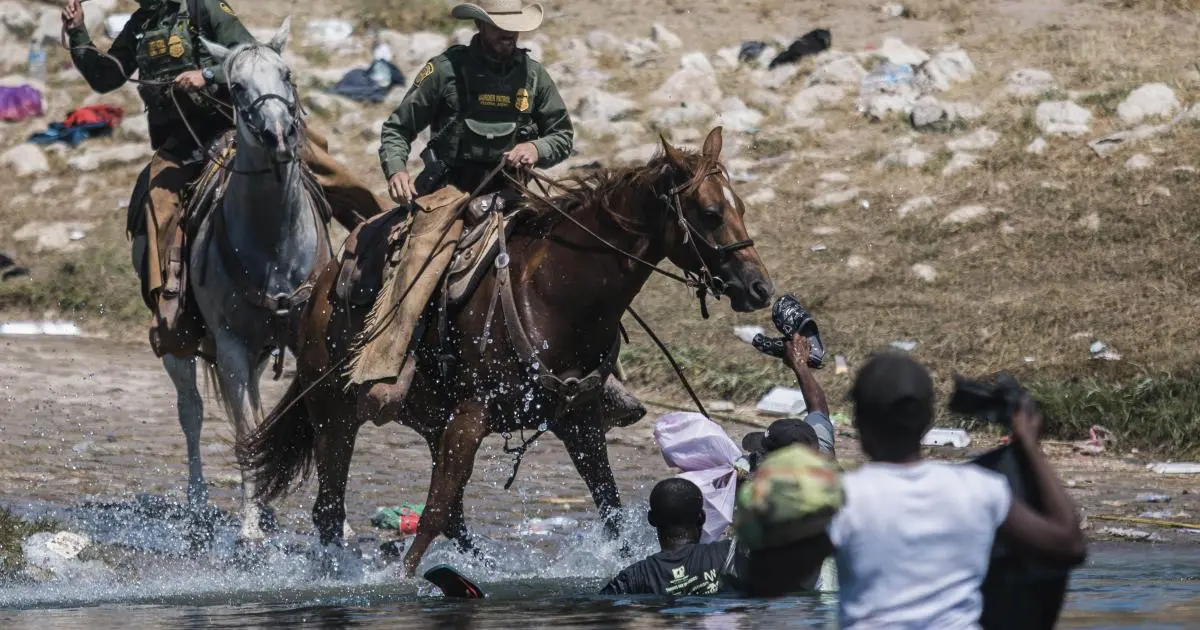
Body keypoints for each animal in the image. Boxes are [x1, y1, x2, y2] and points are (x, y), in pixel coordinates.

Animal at [135, 17, 333, 542]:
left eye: (287, 74)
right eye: (236, 85)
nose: (279, 135)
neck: (274, 244)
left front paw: (337, 525)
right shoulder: (229, 347)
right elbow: (243, 430)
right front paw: (249, 528)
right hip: (181, 343)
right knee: (192, 412)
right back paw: (200, 505)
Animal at [238, 126, 772, 573]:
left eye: (742, 208)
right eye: (710, 214)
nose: (760, 288)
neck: (555, 295)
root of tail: (321, 286)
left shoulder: (579, 422)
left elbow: (611, 510)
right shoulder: (472, 416)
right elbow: (432, 513)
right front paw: (405, 581)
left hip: (429, 419)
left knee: (450, 516)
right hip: (334, 413)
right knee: (331, 508)